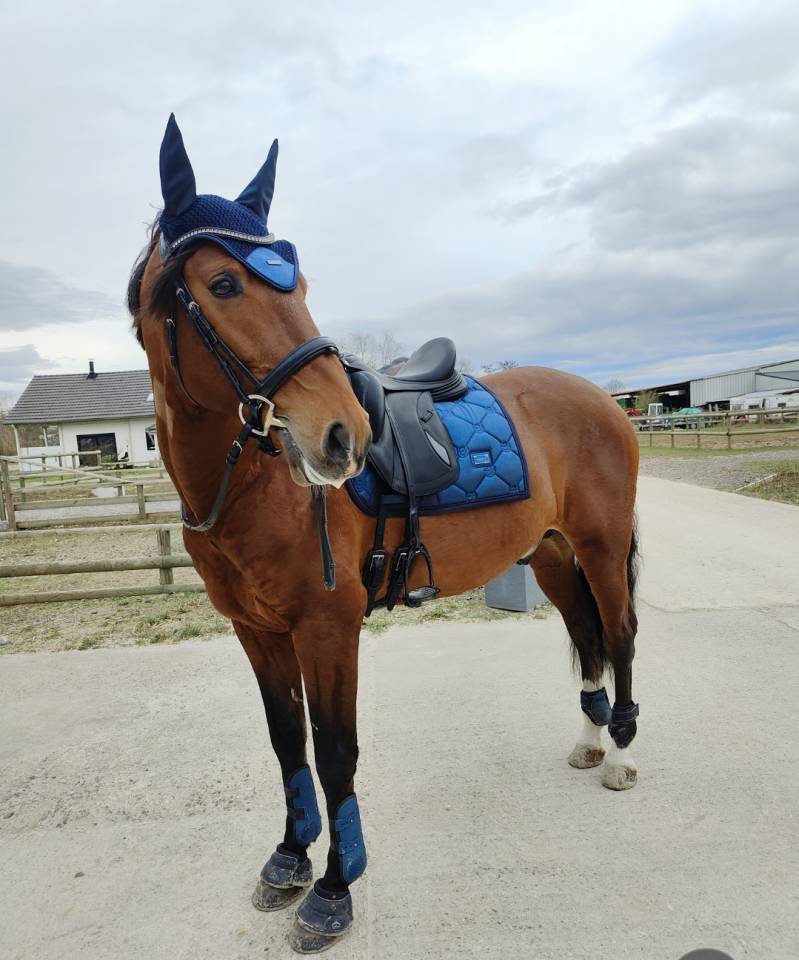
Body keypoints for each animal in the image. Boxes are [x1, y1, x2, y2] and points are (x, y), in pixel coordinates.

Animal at [127, 116, 640, 953]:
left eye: (298, 285)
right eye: (224, 284)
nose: (343, 436)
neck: (251, 483)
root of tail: (600, 398)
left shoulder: (326, 628)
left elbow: (336, 753)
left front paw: (333, 890)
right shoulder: (256, 631)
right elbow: (287, 743)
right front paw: (288, 858)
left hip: (599, 547)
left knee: (621, 635)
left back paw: (623, 754)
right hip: (552, 554)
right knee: (586, 635)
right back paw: (592, 739)